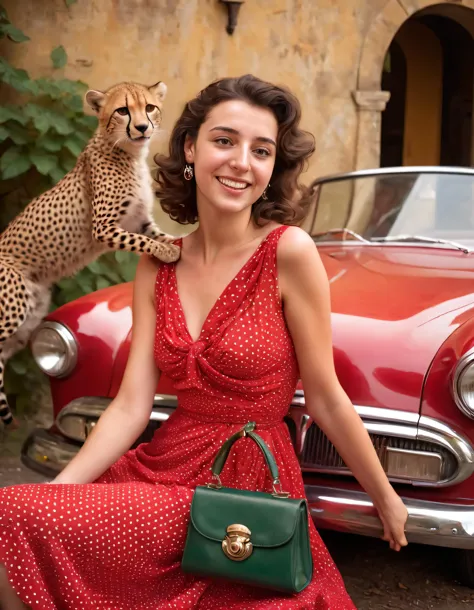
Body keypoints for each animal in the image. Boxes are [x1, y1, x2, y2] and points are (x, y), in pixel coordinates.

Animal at [0, 78, 181, 426]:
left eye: (149, 107)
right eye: (123, 110)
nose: (142, 127)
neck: (129, 153)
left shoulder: (141, 222)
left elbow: (164, 236)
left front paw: (182, 244)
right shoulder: (105, 228)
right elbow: (147, 243)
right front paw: (168, 253)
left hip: (27, 320)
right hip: (11, 309)